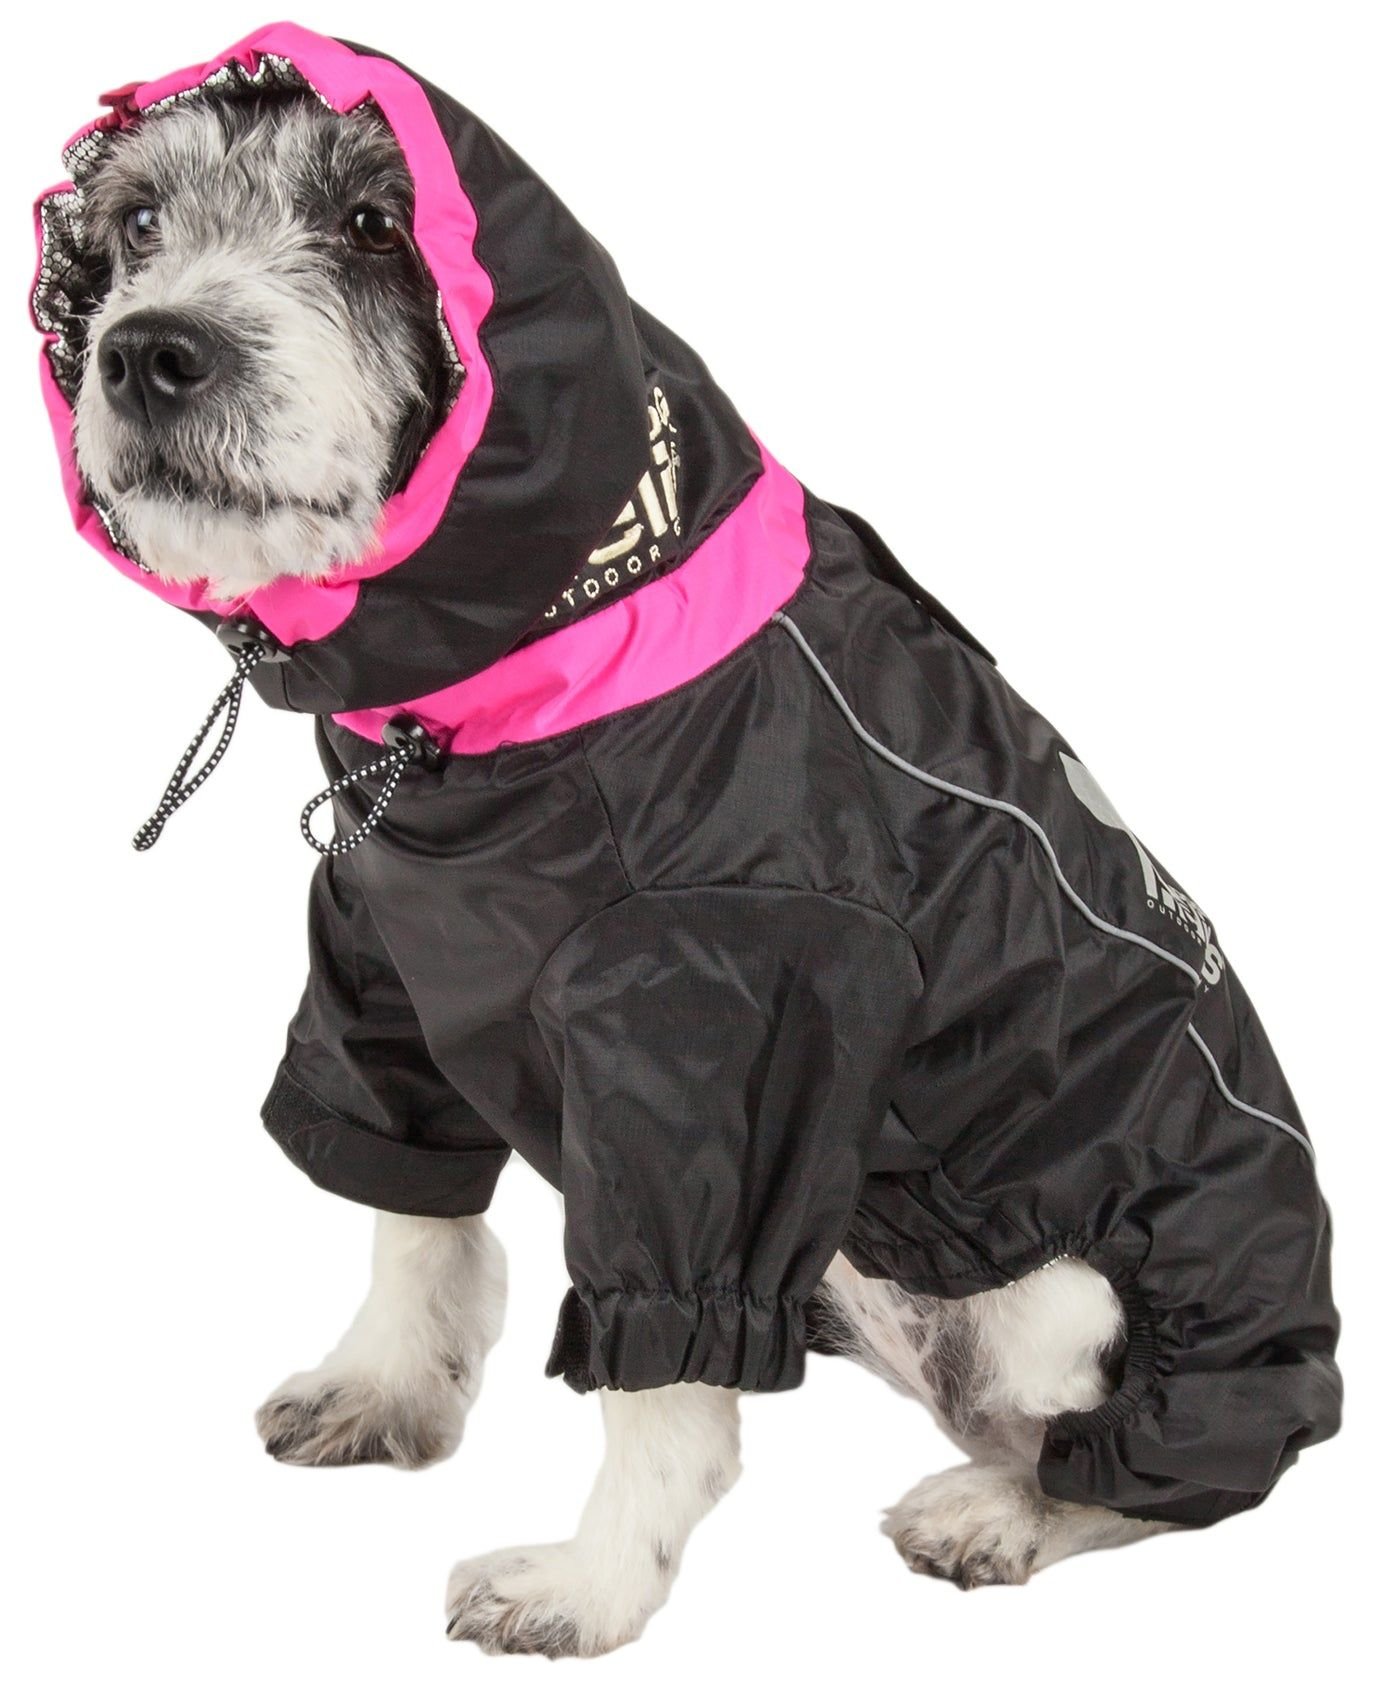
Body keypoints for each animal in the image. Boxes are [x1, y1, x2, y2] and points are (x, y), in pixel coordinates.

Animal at [39, 26, 1339, 1660]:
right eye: (139, 223)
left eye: (377, 226)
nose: (149, 350)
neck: (528, 677)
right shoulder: (381, 951)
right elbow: (407, 1206)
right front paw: (387, 1387)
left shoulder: (713, 1030)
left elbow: (664, 1361)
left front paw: (588, 1585)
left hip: (1082, 1295)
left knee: (1151, 1473)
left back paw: (1000, 1509)